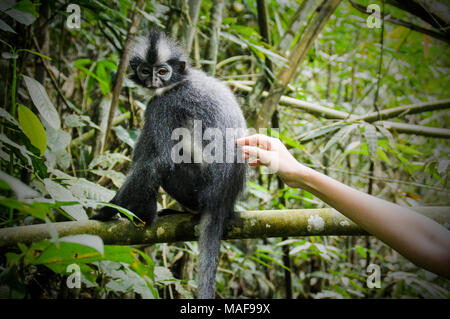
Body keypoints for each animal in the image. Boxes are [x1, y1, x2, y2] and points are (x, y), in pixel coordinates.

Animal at [91, 30, 246, 300]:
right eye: (145, 70)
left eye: (163, 71)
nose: (153, 80)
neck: (181, 81)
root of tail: (220, 200)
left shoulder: (164, 105)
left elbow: (159, 162)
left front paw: (108, 212)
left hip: (195, 189)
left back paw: (148, 213)